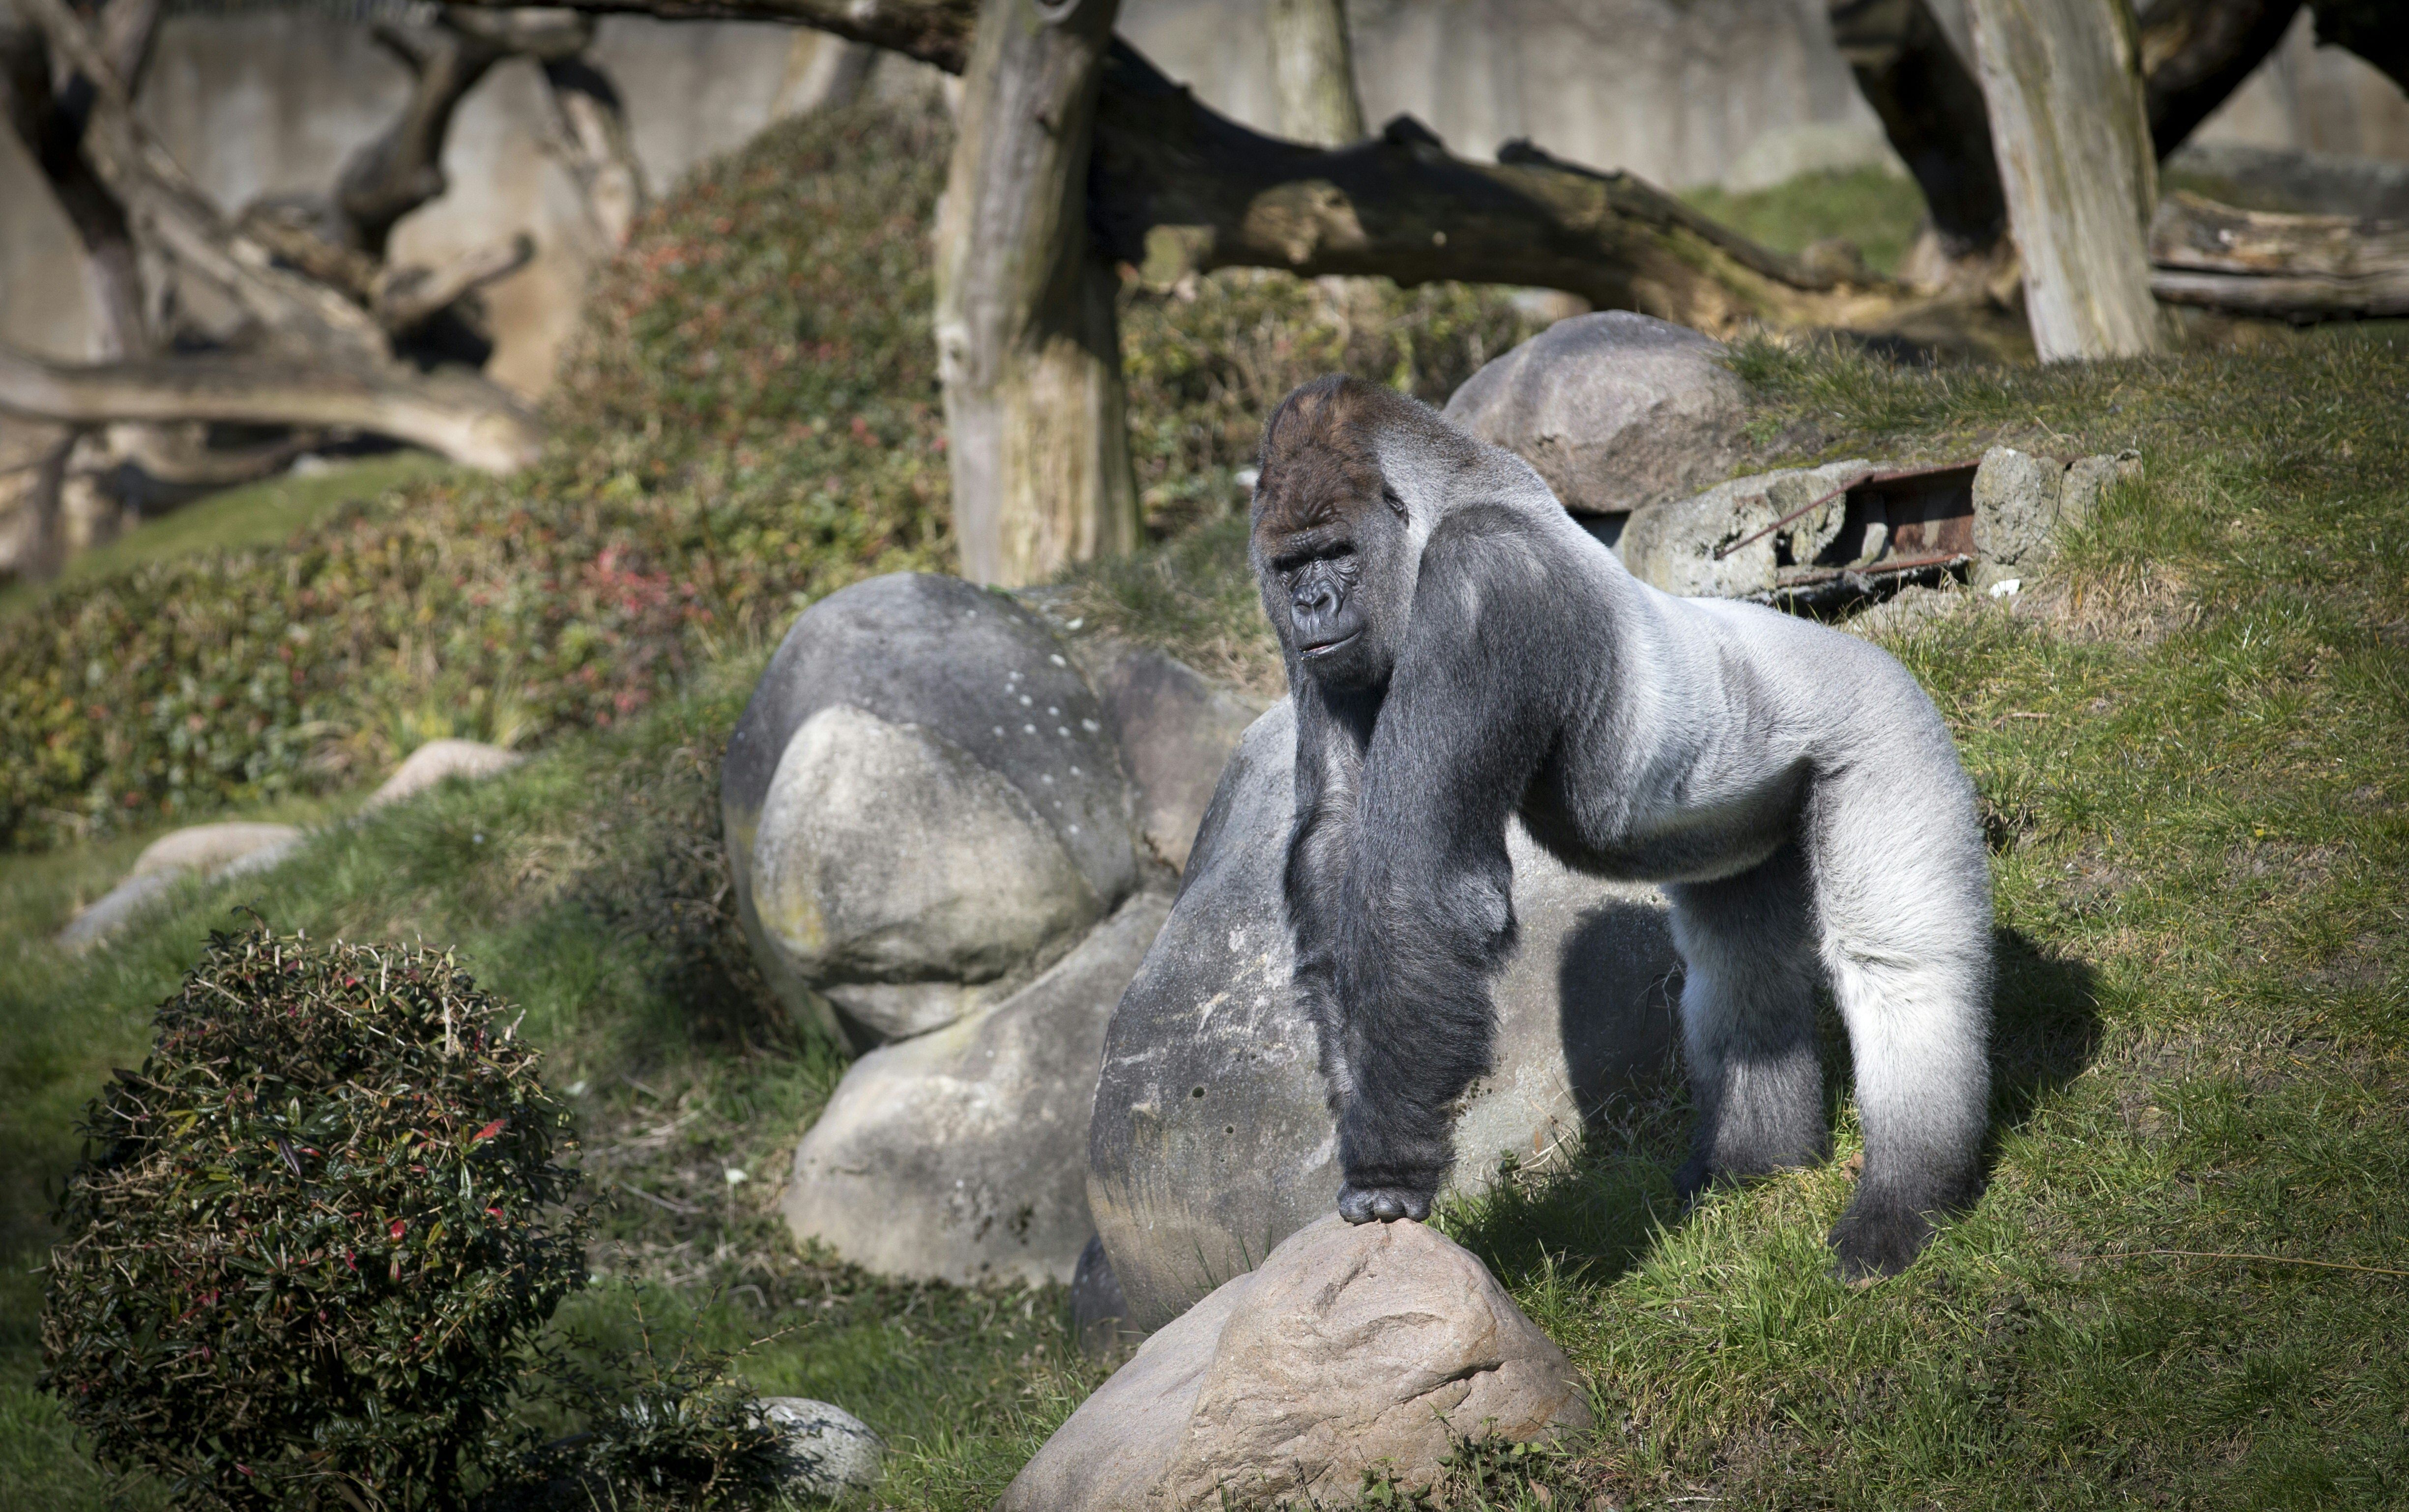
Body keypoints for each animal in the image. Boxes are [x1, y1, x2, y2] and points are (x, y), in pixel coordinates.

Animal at [1262, 375, 1995, 1271]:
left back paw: (1902, 1201)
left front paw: (1386, 1165)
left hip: (1890, 729)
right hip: (1745, 822)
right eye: (1289, 565)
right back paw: (1752, 1162)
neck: (1446, 498)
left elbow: (1420, 883)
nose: (1311, 603)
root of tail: (1881, 653)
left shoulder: (1484, 578)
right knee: (1738, 964)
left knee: (1897, 963)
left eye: (1336, 553)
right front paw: (1354, 1097)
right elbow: (1334, 837)